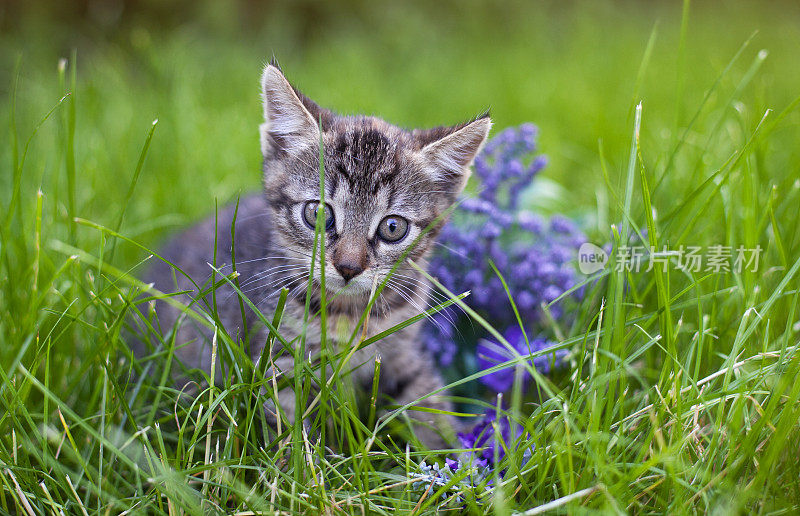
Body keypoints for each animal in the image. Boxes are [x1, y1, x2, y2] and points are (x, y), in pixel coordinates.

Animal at [143, 63, 490, 448]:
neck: (348, 313)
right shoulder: (279, 358)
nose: (349, 267)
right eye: (318, 214)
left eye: (392, 227)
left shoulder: (403, 350)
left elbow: (426, 405)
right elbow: (290, 429)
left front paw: (457, 457)